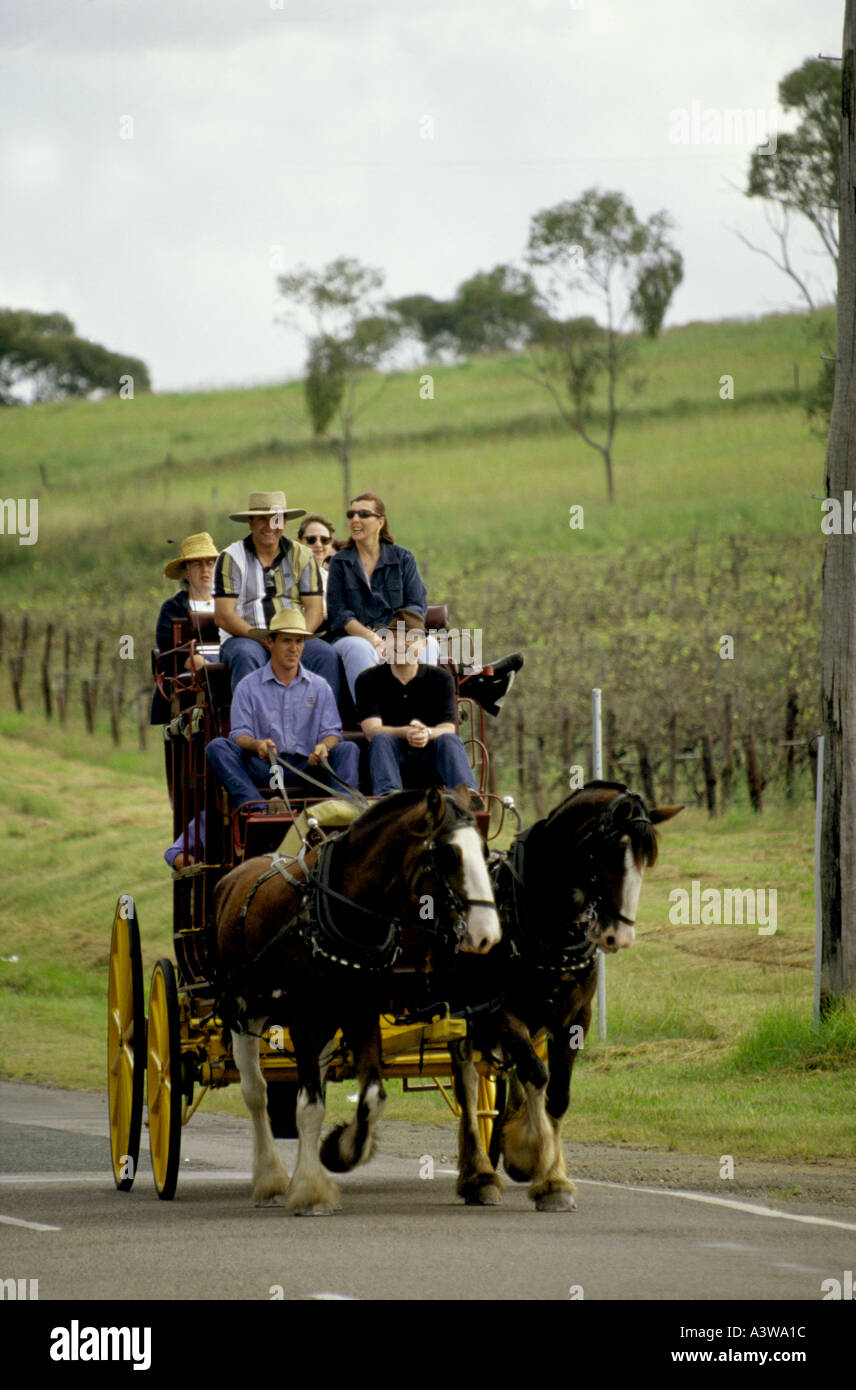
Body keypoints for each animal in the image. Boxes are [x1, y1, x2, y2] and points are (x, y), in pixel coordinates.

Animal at [212, 789, 500, 1212]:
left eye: (483, 849)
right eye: (449, 854)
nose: (486, 935)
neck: (346, 909)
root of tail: (232, 879)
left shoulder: (361, 1011)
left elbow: (371, 1098)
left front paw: (340, 1151)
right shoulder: (304, 1017)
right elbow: (308, 1106)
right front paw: (311, 1189)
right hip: (245, 1009)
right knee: (256, 1093)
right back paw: (270, 1179)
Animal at [447, 789, 680, 1212]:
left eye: (646, 859)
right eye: (609, 855)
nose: (618, 937)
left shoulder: (575, 1018)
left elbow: (556, 1094)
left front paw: (546, 1170)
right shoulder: (501, 1012)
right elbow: (536, 1075)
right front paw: (540, 1165)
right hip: (461, 1016)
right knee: (469, 1086)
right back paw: (479, 1175)